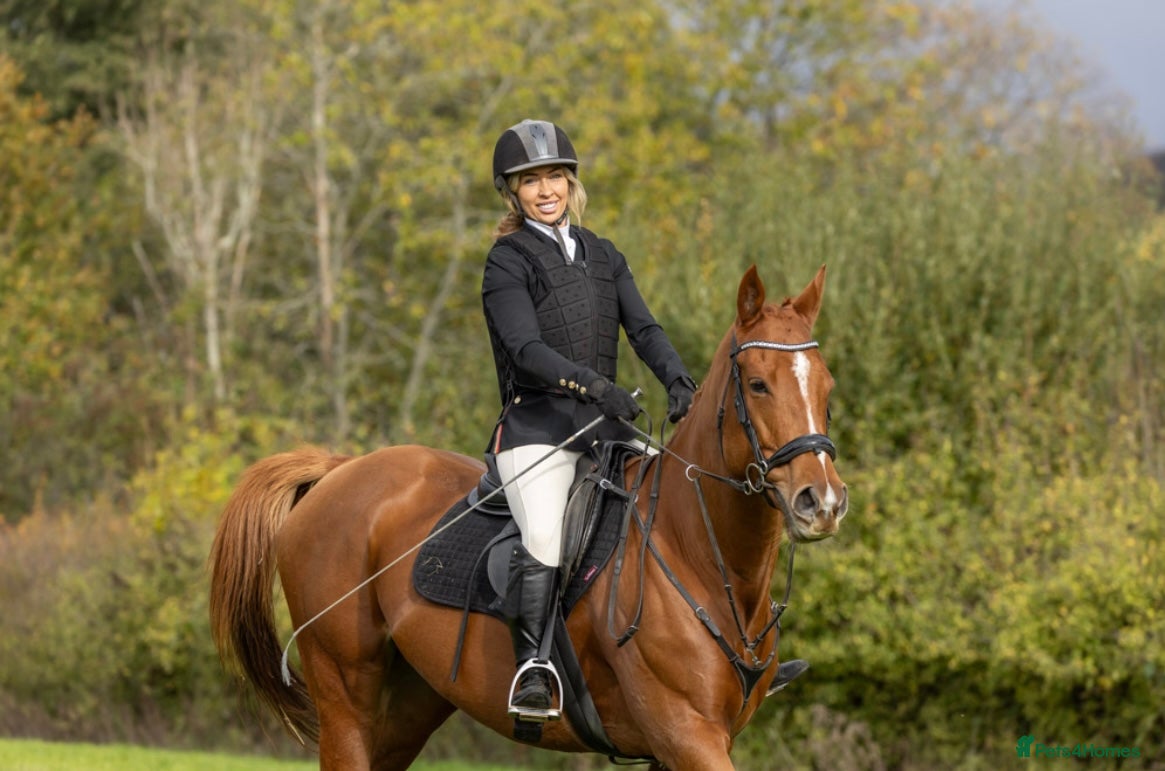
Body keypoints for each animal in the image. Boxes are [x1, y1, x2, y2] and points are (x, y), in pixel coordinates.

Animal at [209, 265, 847, 770]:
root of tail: (340, 469)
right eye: (758, 385)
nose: (822, 502)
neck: (698, 554)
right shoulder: (687, 735)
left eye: (827, 387)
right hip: (345, 697)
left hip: (410, 702)